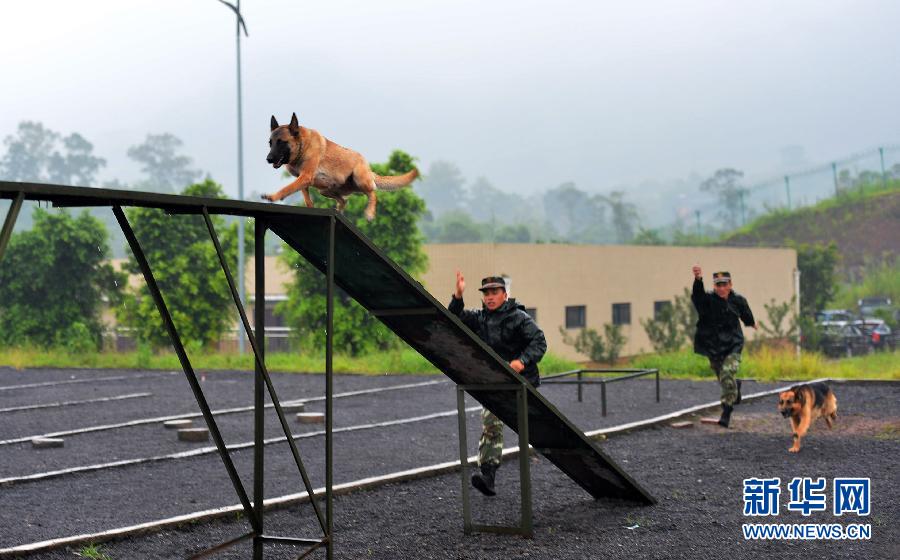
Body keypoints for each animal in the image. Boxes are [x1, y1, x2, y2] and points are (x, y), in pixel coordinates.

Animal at [258, 112, 416, 220]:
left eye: (281, 142)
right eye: (270, 143)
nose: (268, 159)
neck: (302, 146)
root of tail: (369, 170)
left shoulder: (305, 176)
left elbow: (287, 188)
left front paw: (273, 196)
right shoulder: (303, 179)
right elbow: (306, 197)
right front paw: (311, 207)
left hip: (360, 179)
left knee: (372, 193)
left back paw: (370, 212)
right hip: (324, 189)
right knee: (344, 200)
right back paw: (339, 212)